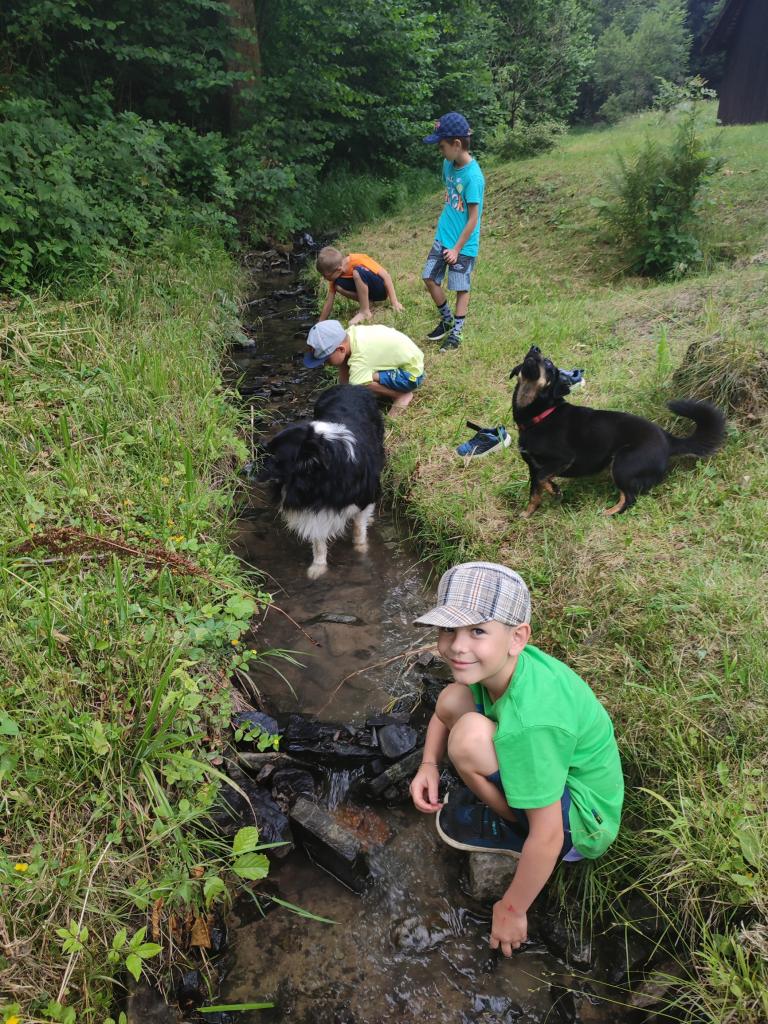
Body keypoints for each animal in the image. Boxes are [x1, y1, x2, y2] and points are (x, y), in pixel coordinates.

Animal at [256, 384, 385, 578]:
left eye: (274, 457)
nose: (244, 470)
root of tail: (351, 385)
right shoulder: (313, 507)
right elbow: (318, 539)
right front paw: (318, 567)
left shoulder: (365, 494)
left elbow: (358, 528)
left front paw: (361, 551)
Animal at [510, 346, 726, 517]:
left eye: (548, 363)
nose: (535, 348)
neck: (540, 416)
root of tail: (668, 439)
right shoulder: (533, 466)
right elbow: (534, 491)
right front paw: (528, 513)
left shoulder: (562, 458)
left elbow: (542, 477)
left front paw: (555, 490)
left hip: (622, 463)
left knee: (629, 498)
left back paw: (608, 512)